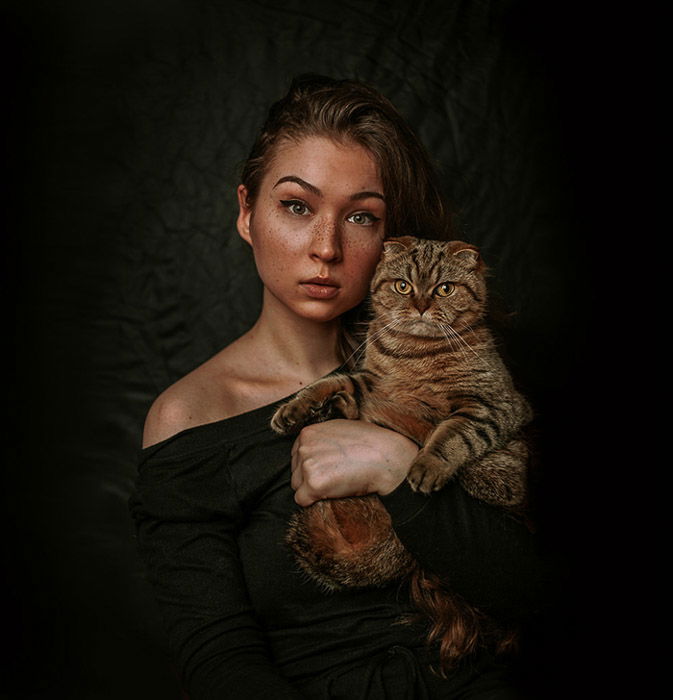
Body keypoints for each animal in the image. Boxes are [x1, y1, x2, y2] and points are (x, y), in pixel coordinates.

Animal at [270, 237, 532, 668]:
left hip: (503, 470)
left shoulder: (491, 406)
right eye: (403, 286)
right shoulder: (371, 381)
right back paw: (332, 410)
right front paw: (296, 407)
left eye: (444, 288)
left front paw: (427, 465)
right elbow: (333, 381)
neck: (415, 353)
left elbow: (451, 434)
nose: (421, 306)